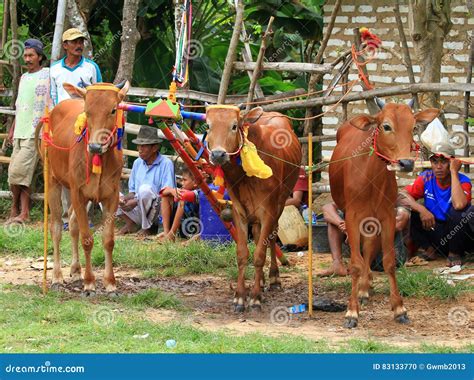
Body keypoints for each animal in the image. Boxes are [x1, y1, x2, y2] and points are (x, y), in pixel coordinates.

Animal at [38, 81, 130, 296]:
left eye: (113, 110)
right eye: (87, 111)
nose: (95, 146)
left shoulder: (112, 196)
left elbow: (108, 240)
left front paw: (110, 283)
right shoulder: (78, 193)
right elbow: (87, 239)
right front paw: (89, 283)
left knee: (72, 225)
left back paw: (76, 269)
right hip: (53, 182)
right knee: (56, 227)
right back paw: (56, 277)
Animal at [206, 106, 302, 312]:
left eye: (234, 126)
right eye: (208, 126)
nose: (218, 154)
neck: (244, 176)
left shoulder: (268, 211)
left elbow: (259, 255)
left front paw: (255, 297)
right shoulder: (239, 212)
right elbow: (242, 254)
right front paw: (240, 297)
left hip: (280, 203)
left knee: (271, 237)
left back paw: (273, 278)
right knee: (259, 236)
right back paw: (264, 280)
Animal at [330, 100, 436, 326]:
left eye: (413, 127)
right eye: (386, 126)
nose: (406, 163)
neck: (371, 177)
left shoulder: (387, 216)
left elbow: (388, 262)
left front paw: (399, 309)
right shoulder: (352, 217)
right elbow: (355, 264)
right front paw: (352, 312)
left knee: (369, 246)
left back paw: (364, 287)